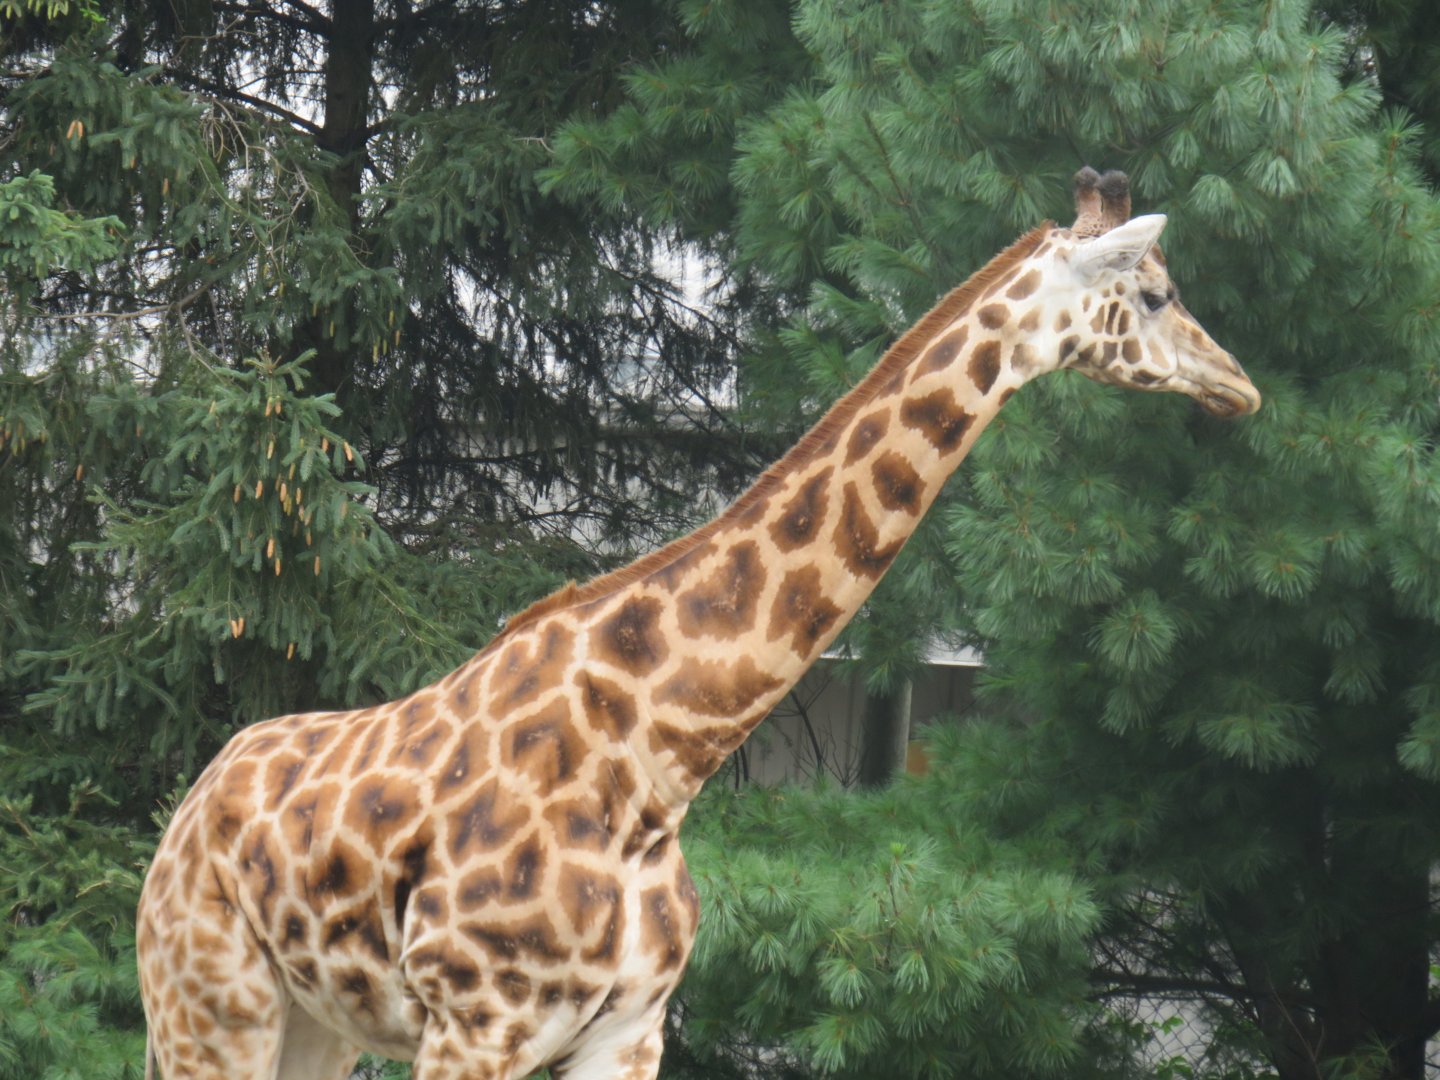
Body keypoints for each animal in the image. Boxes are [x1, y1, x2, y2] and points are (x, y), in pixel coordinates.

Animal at [136, 168, 1259, 1080]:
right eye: (1156, 294)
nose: (1240, 386)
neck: (659, 763)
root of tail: (185, 811)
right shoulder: (477, 1025)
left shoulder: (631, 1030)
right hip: (210, 1001)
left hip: (314, 1021)